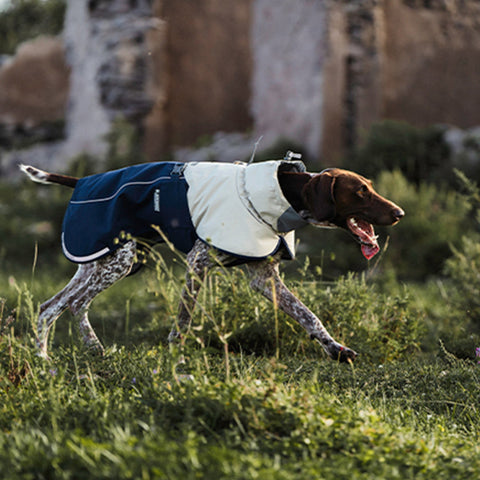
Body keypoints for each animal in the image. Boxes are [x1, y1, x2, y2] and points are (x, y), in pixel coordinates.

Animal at [19, 159, 402, 362]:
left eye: (370, 186)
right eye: (360, 192)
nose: (399, 213)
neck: (282, 194)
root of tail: (82, 180)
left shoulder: (265, 277)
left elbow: (309, 315)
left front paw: (335, 348)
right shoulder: (198, 264)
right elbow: (183, 322)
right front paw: (176, 357)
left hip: (103, 262)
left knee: (59, 306)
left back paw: (80, 352)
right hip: (118, 260)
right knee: (62, 306)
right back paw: (51, 358)